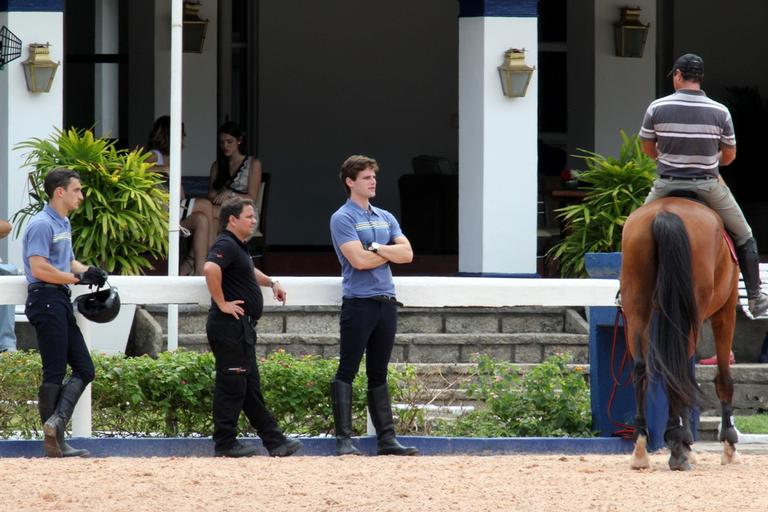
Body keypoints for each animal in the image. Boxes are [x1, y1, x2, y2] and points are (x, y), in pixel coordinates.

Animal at [620, 197, 740, 472]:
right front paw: (728, 446)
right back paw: (678, 446)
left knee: (643, 367)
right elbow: (723, 377)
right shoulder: (726, 310)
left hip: (637, 309)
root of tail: (666, 213)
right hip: (690, 315)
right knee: (678, 370)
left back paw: (641, 447)